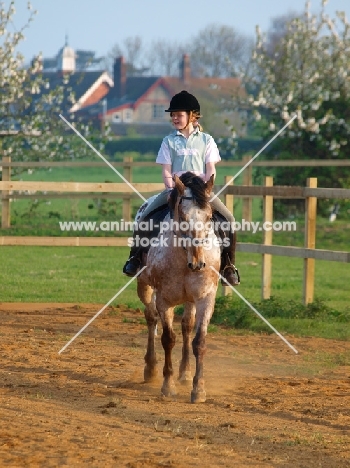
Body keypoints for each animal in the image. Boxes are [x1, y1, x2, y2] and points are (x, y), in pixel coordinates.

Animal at [137, 172, 221, 402]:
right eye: (183, 218)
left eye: (209, 217)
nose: (198, 264)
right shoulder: (164, 300)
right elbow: (168, 339)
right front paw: (168, 385)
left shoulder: (205, 298)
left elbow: (199, 342)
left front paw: (198, 389)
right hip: (144, 287)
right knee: (151, 318)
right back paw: (150, 368)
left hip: (190, 299)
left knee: (187, 326)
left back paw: (185, 372)